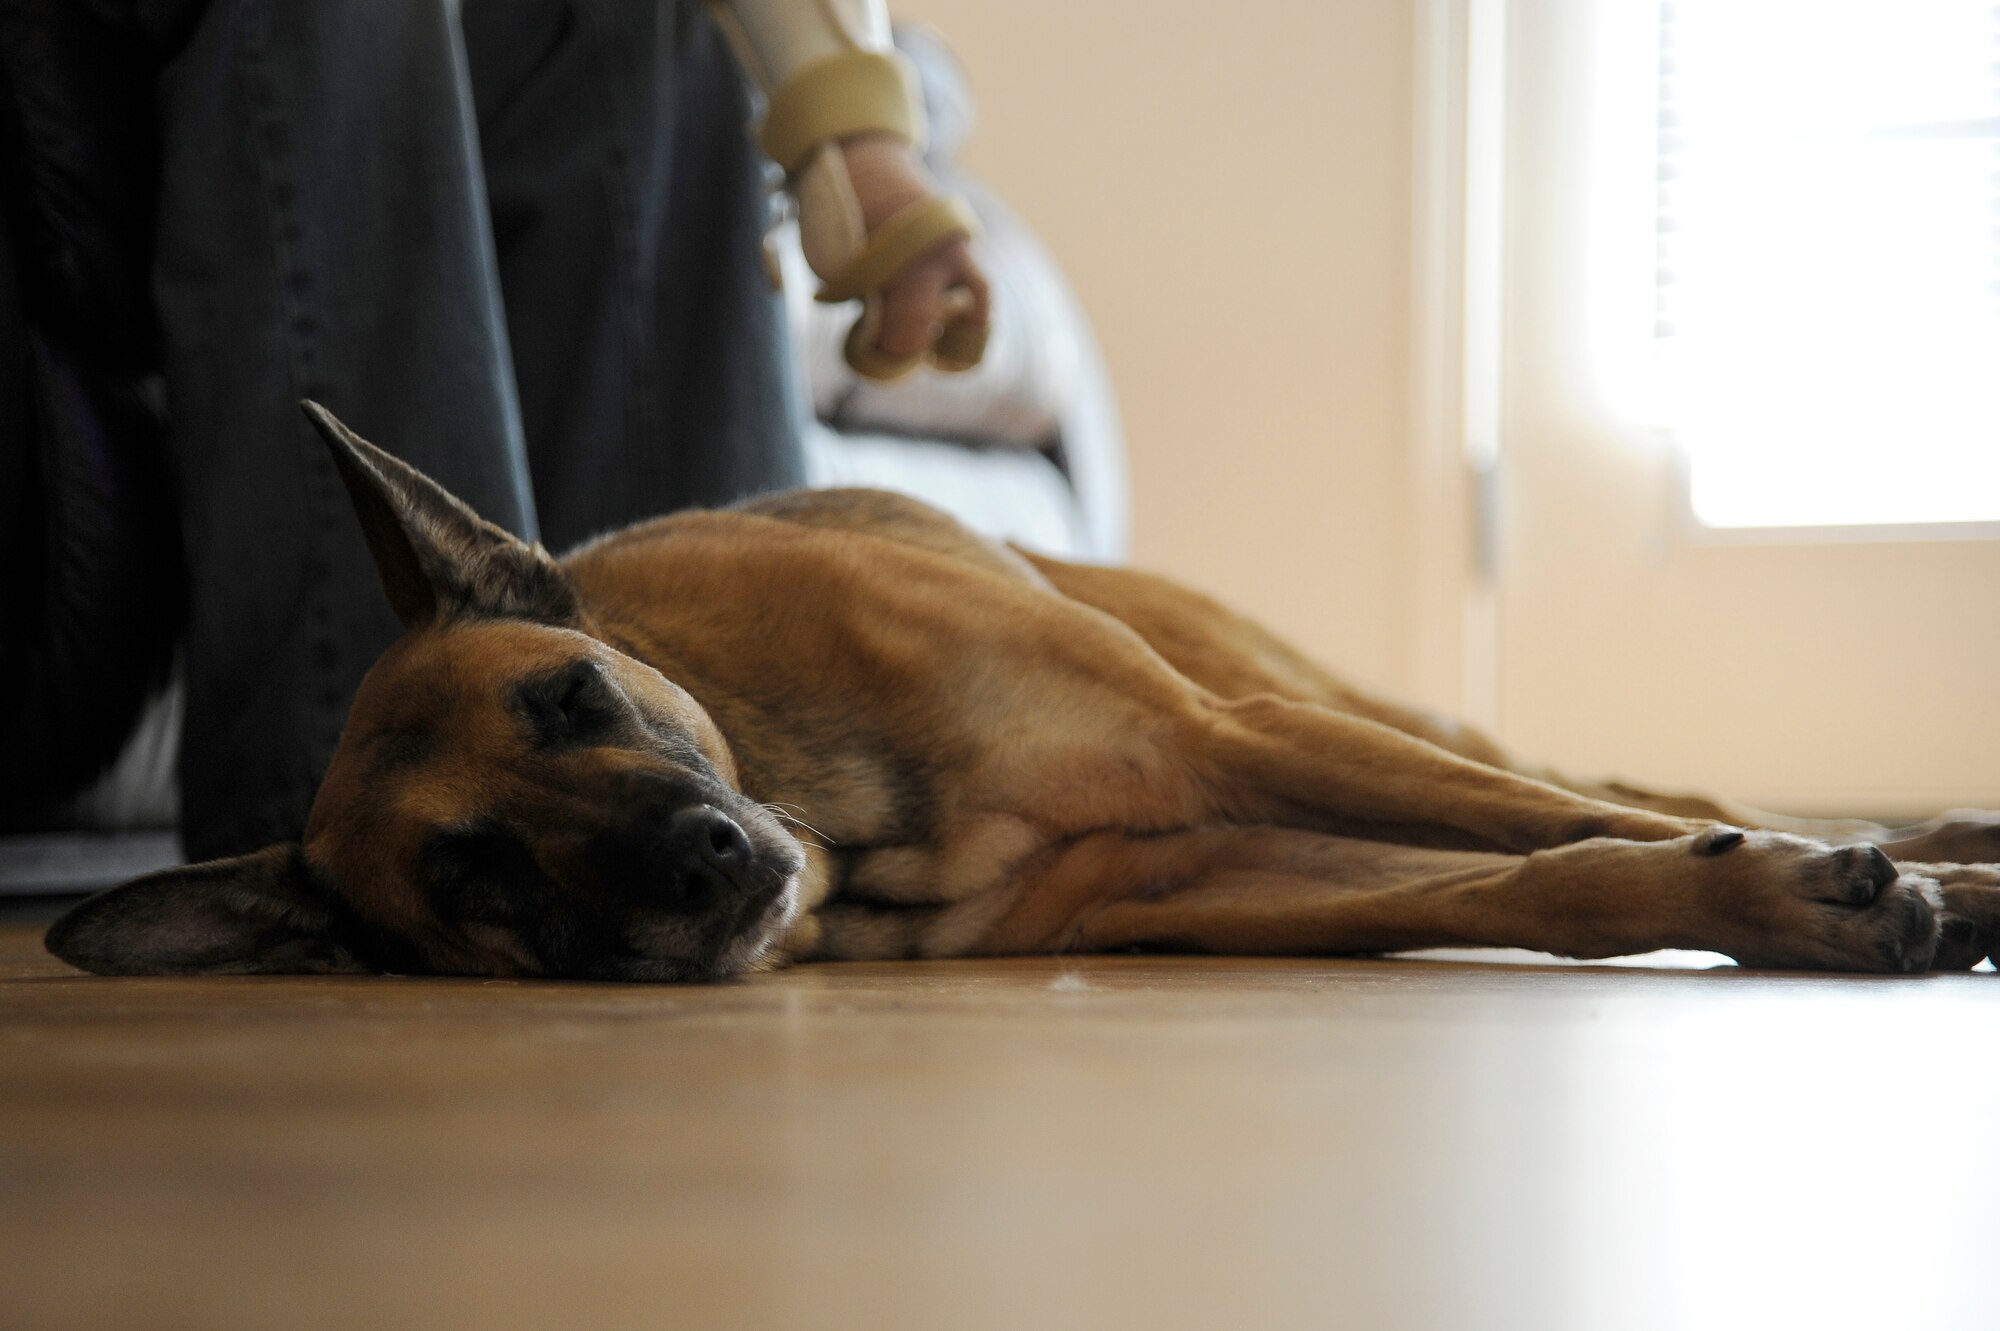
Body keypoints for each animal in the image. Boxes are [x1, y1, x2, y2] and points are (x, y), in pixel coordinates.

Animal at [43, 403, 2000, 975]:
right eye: (475, 877)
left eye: (576, 699)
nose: (702, 861)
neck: (851, 815)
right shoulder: (1210, 870)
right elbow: (1555, 879)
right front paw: (1787, 907)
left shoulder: (1231, 741)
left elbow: (1579, 823)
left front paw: (1869, 879)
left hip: (1320, 704)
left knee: (1626, 773)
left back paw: (1933, 834)